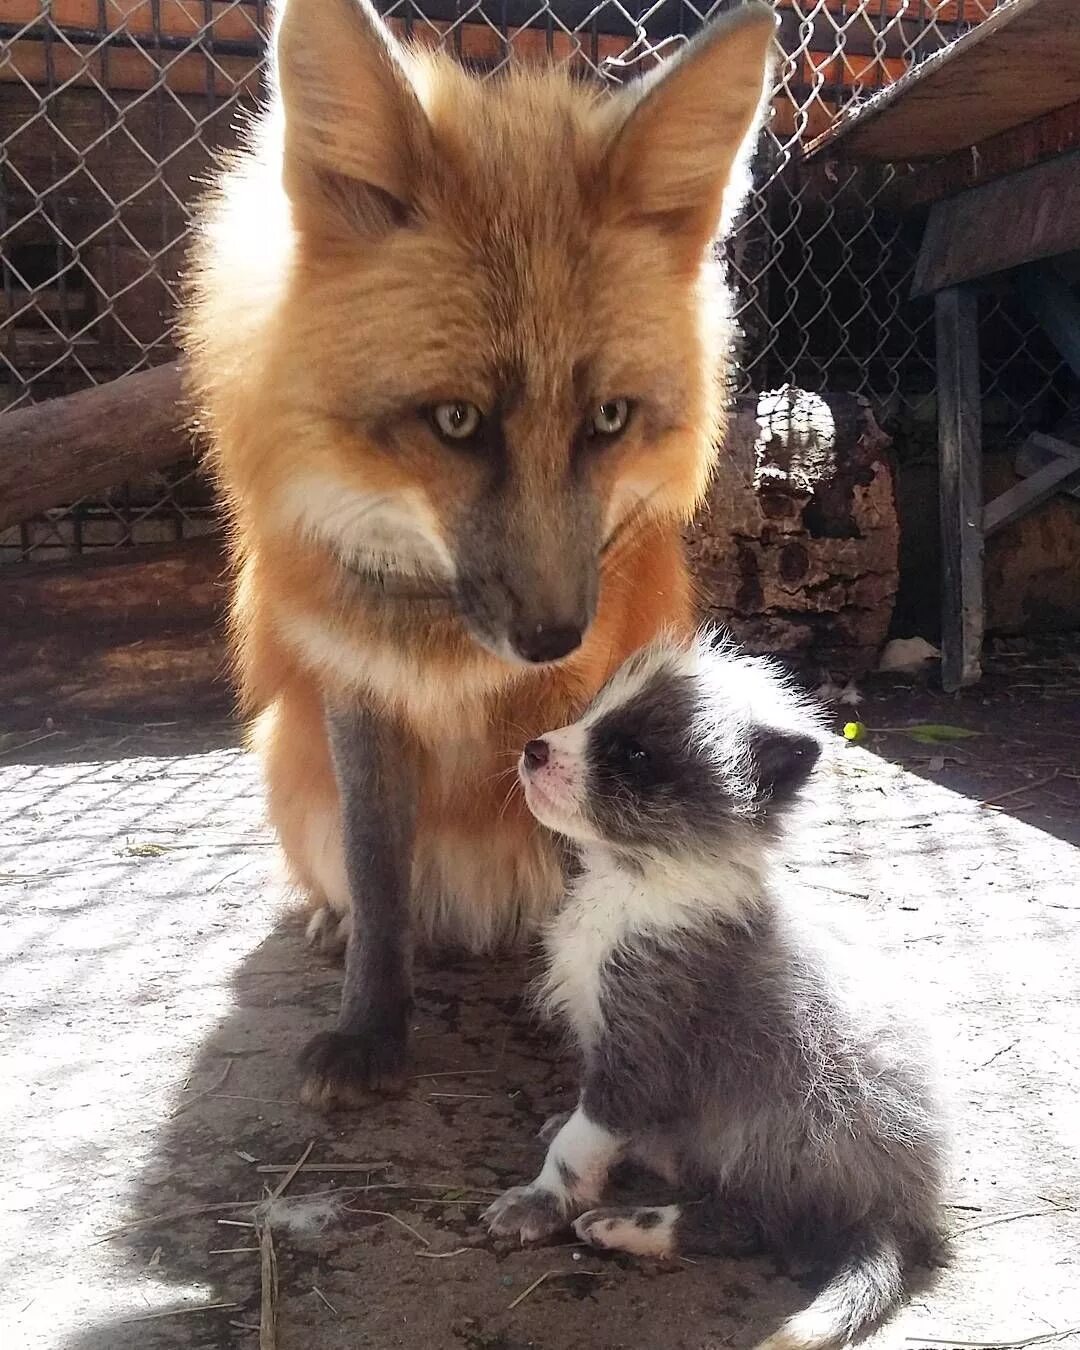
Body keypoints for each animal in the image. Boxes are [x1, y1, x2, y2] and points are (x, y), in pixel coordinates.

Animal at [186, 0, 777, 1107]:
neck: (447, 649)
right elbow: (380, 883)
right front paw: (372, 1027)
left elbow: (588, 864)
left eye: (609, 419)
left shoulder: (578, 706)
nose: (552, 635)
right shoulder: (360, 689)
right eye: (456, 422)